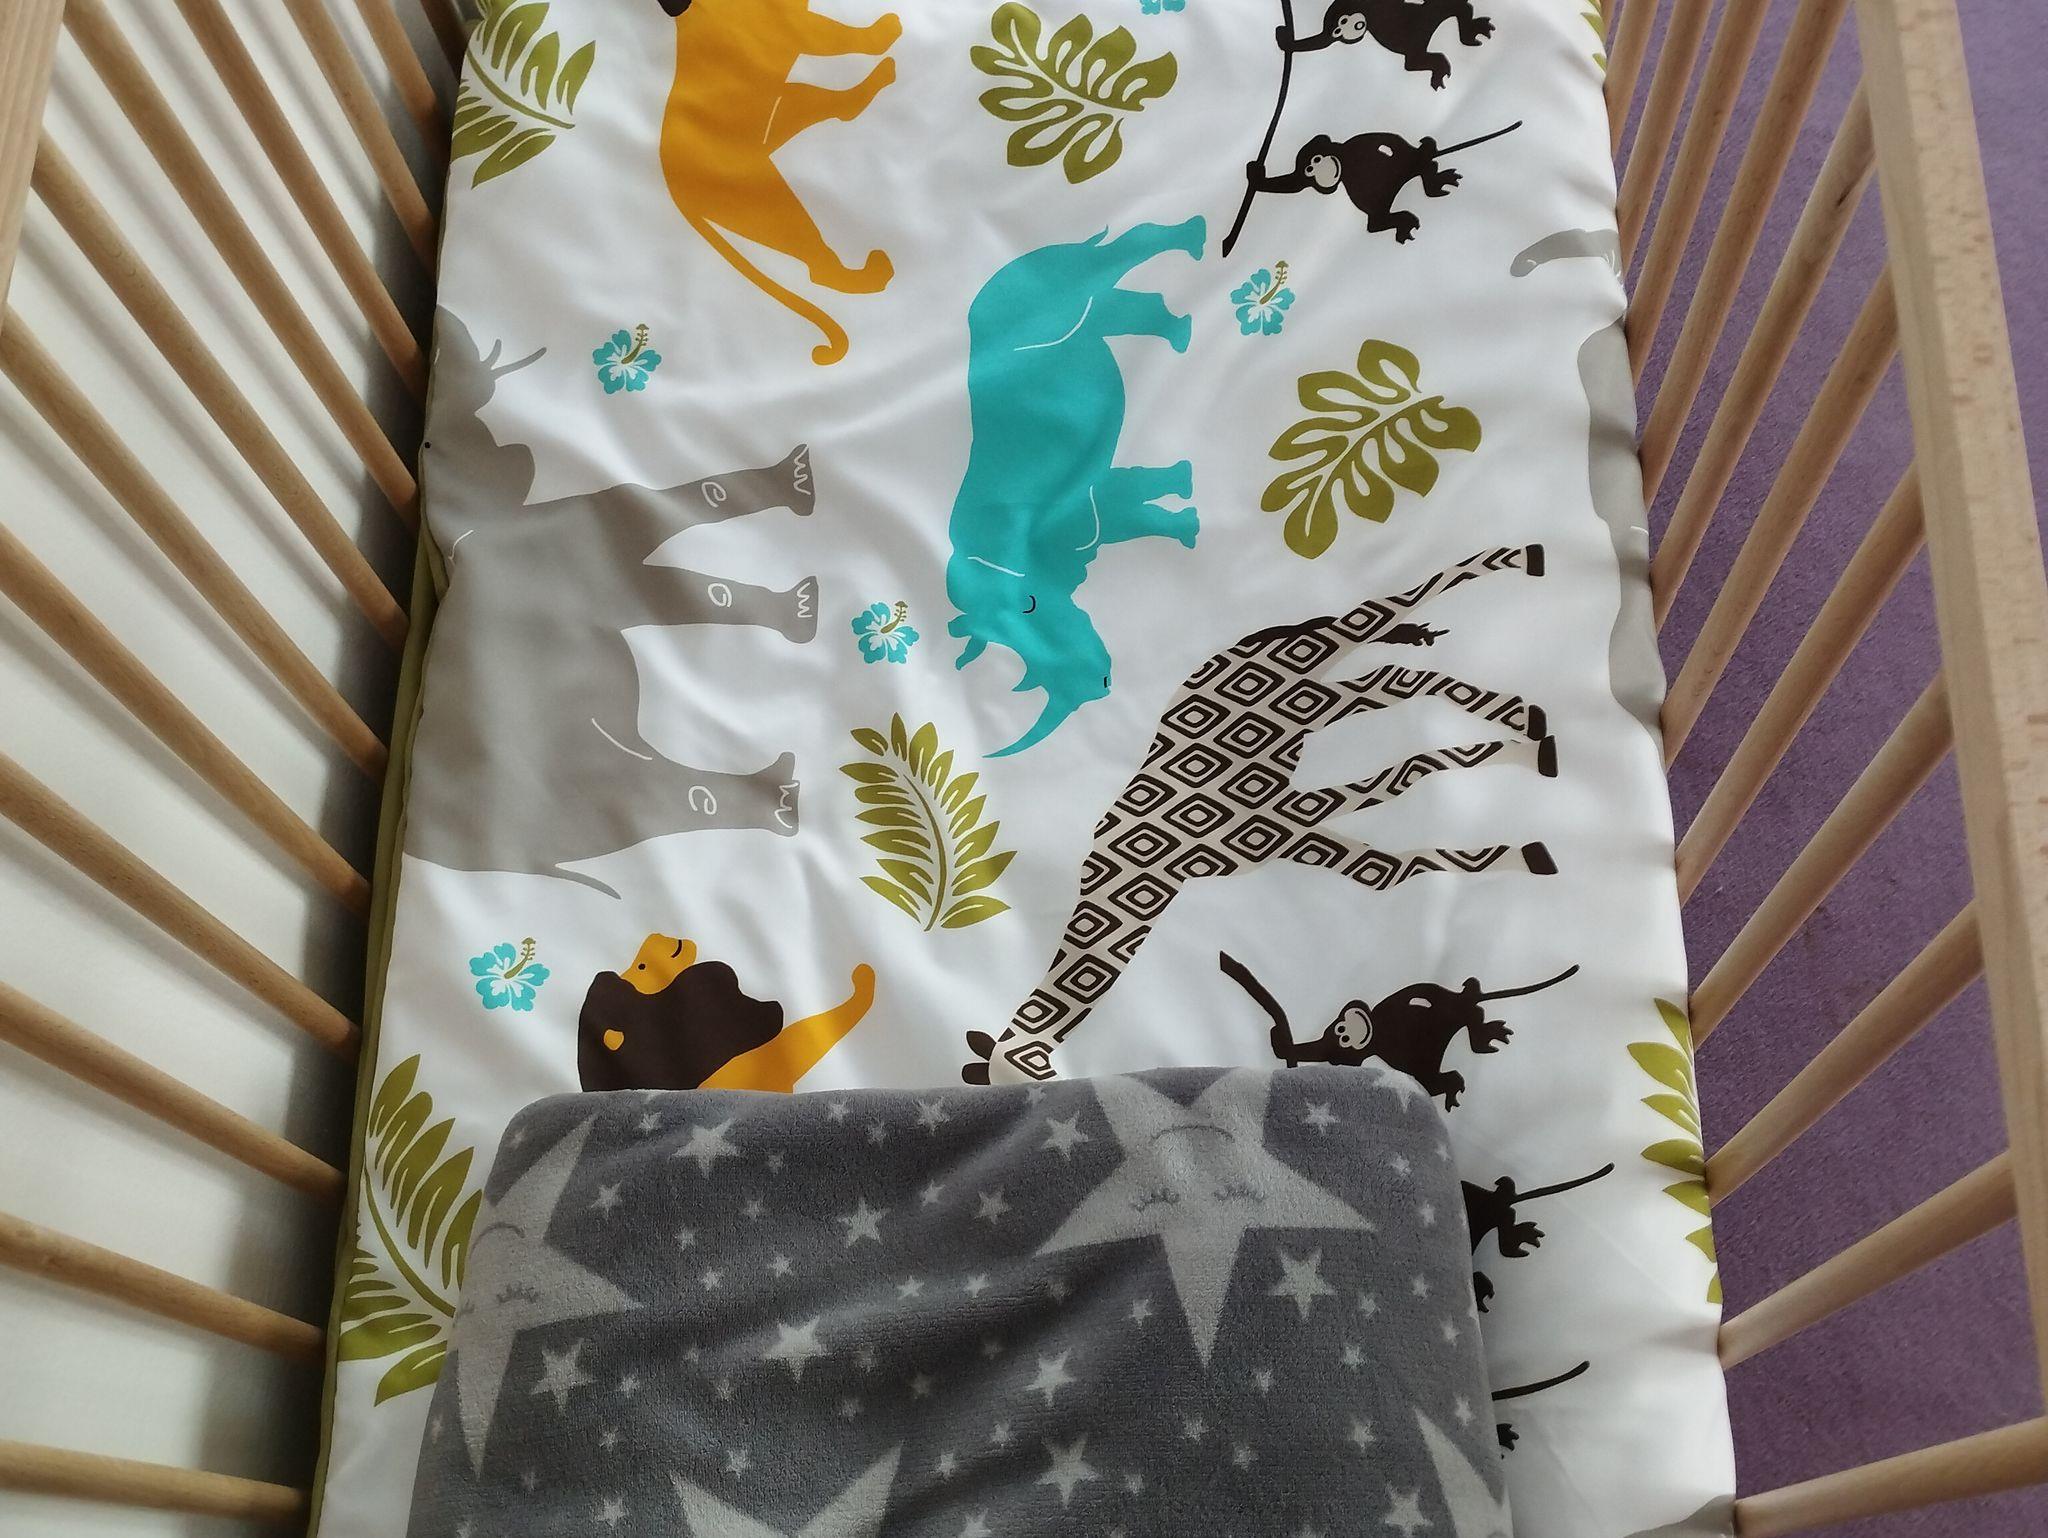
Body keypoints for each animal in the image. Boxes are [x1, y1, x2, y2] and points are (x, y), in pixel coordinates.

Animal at [963, 544, 1560, 1084]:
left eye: (1026, 1068)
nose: (1054, 1082)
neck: (1127, 883)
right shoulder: (1284, 831)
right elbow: (1389, 864)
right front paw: (1530, 848)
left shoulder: (1270, 815)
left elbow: (1400, 787)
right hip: (1311, 696)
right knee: (1388, 670)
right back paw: (1520, 713)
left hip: (1300, 690)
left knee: (1376, 640)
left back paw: (1526, 584)